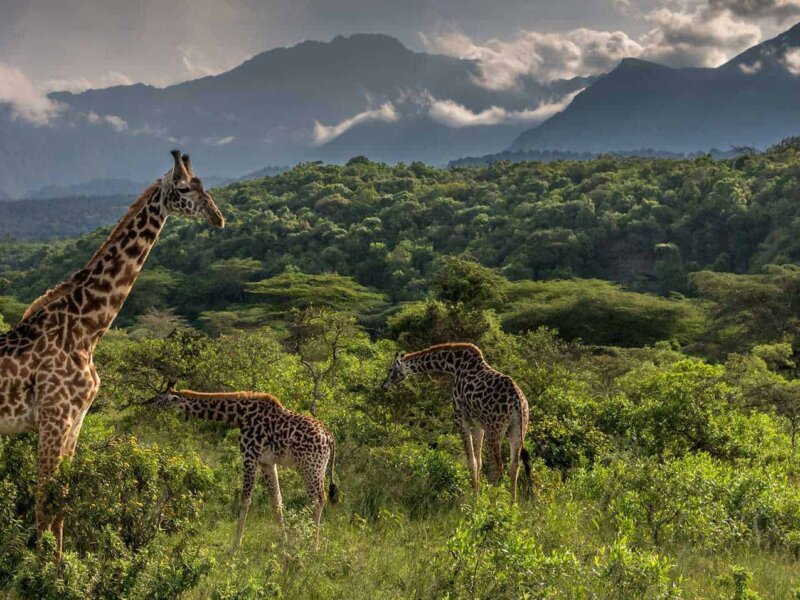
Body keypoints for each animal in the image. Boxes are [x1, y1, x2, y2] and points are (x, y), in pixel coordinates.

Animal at [0, 150, 224, 558]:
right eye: (184, 188)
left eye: (204, 185)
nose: (218, 217)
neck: (85, 331)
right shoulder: (54, 419)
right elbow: (43, 503)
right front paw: (40, 570)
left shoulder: (74, 422)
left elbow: (61, 502)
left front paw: (58, 568)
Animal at [145, 384, 338, 550]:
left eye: (161, 397)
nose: (146, 402)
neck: (240, 415)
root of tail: (330, 438)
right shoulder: (267, 462)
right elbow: (277, 500)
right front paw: (283, 543)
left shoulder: (250, 456)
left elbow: (245, 499)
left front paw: (234, 547)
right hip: (318, 468)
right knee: (317, 499)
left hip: (310, 467)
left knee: (318, 499)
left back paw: (312, 548)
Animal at [381, 342, 531, 502]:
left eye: (390, 369)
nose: (383, 385)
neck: (454, 365)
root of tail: (517, 401)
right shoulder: (479, 424)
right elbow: (478, 461)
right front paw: (477, 491)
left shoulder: (460, 417)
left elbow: (471, 461)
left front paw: (475, 498)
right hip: (518, 428)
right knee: (514, 465)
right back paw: (512, 503)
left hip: (495, 428)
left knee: (497, 465)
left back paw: (490, 500)